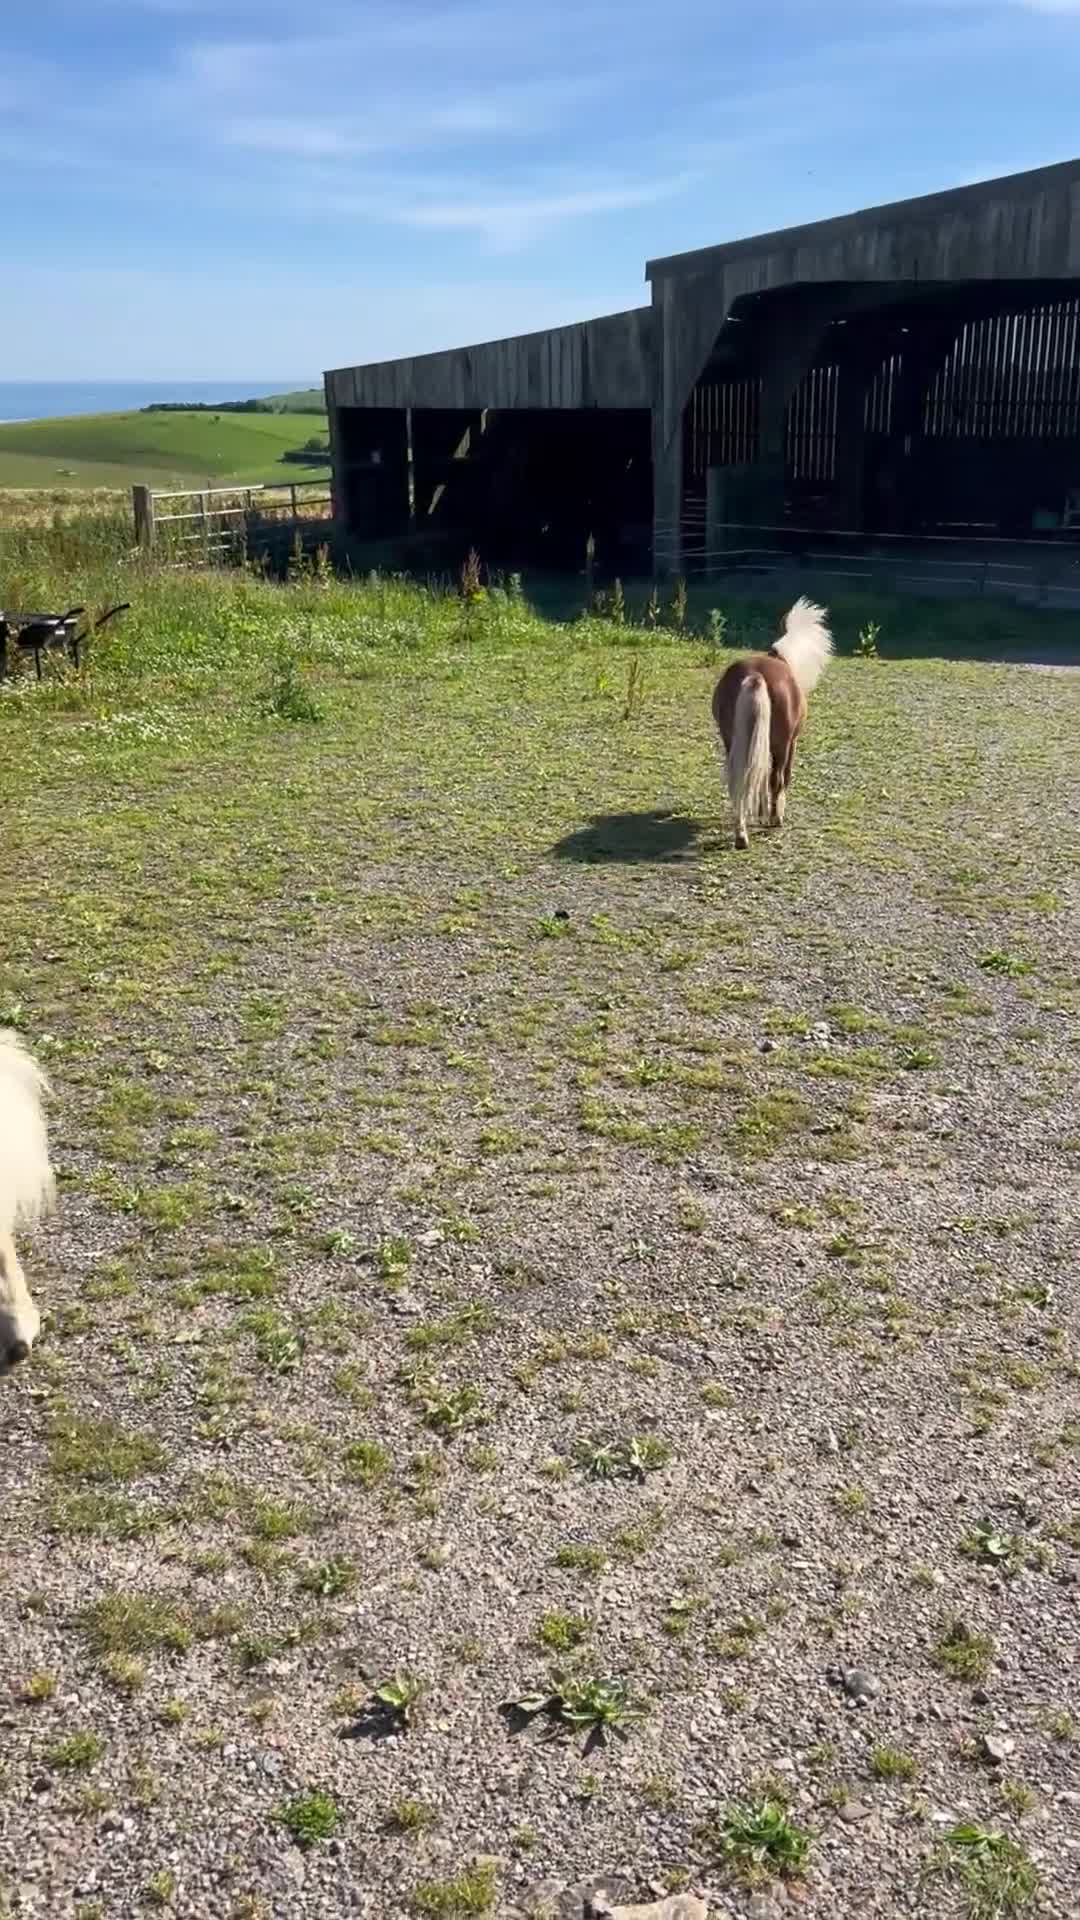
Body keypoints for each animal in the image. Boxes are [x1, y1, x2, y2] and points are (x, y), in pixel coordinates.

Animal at [712, 597, 833, 849]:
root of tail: (754, 675)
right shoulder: (791, 743)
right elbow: (782, 777)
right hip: (781, 745)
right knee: (775, 778)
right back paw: (775, 820)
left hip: (734, 742)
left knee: (739, 778)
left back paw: (741, 834)